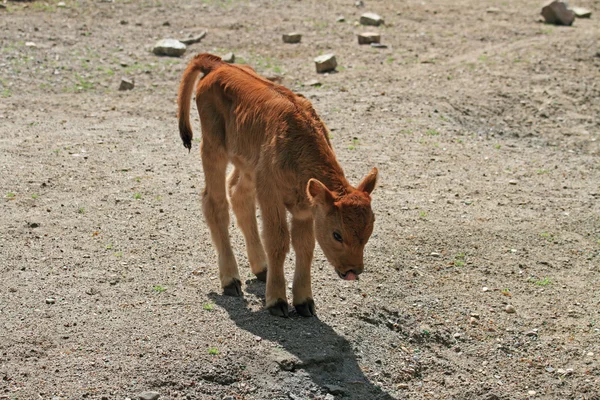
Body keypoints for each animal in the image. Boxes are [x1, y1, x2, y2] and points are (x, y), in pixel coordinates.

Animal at [176, 53, 378, 318]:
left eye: (369, 232)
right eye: (337, 234)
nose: (353, 271)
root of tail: (218, 65)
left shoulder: (304, 208)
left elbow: (304, 246)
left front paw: (305, 302)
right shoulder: (270, 195)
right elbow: (278, 241)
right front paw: (277, 301)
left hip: (247, 166)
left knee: (238, 196)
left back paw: (261, 268)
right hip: (213, 149)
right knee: (216, 203)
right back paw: (231, 280)